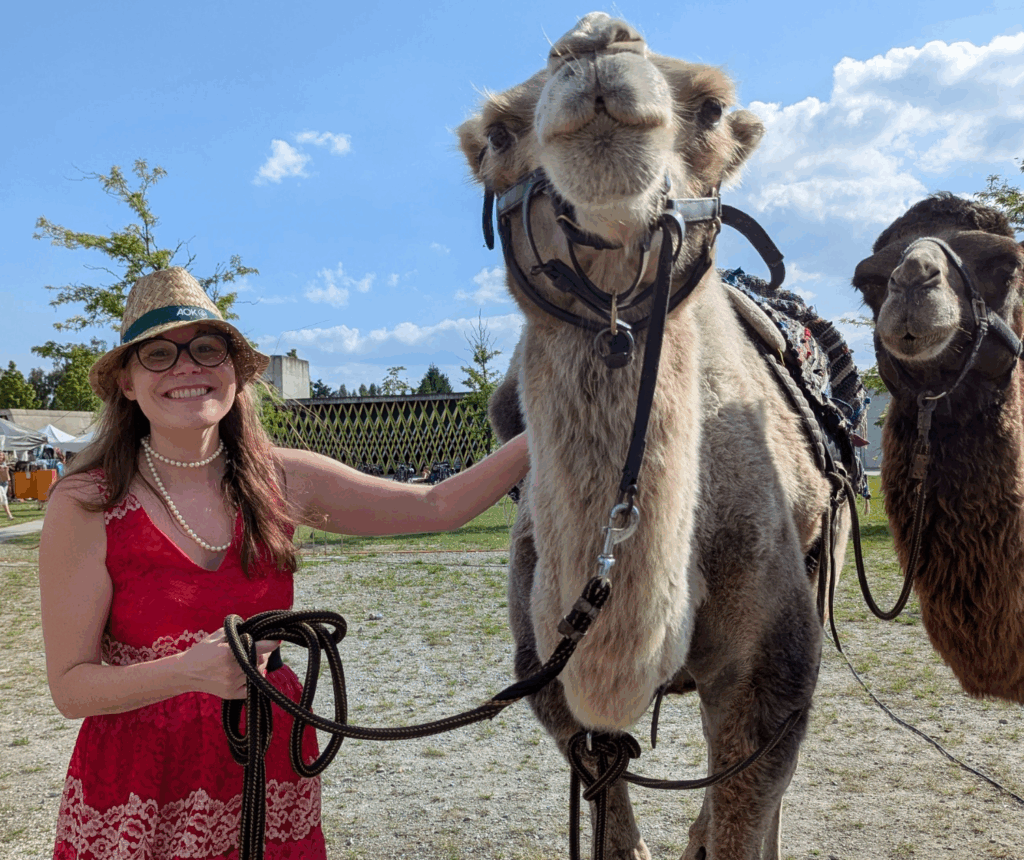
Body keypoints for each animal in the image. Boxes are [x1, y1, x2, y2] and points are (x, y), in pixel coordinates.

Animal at [458, 13, 851, 859]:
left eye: (711, 109)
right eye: (497, 133)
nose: (594, 40)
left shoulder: (773, 673)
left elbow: (750, 808)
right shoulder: (549, 678)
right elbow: (612, 823)